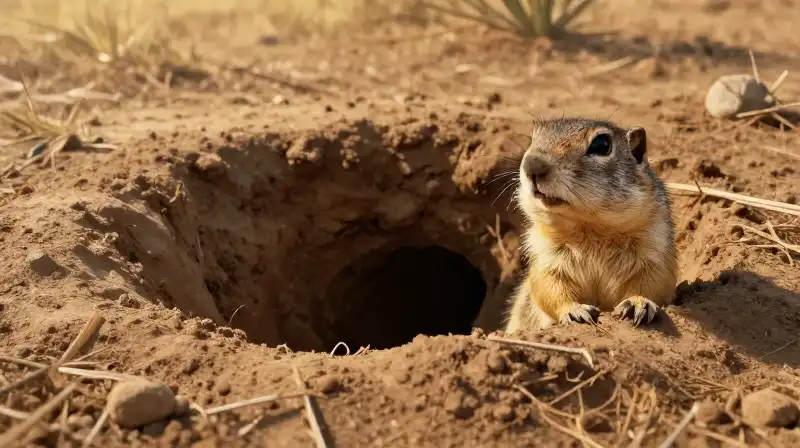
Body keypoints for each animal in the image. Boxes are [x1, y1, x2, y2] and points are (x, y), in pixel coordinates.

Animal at [504, 117, 678, 334]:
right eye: (533, 139)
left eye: (601, 145)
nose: (532, 164)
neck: (590, 229)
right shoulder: (546, 257)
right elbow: (548, 287)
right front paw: (574, 311)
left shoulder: (655, 250)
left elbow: (654, 284)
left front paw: (637, 303)